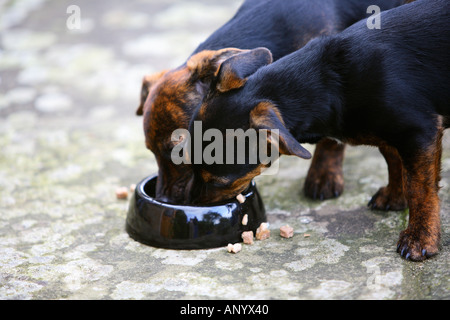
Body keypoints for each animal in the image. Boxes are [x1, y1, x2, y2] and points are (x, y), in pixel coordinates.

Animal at [189, 0, 450, 262]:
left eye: (219, 182)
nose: (195, 205)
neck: (330, 83)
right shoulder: (390, 133)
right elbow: (394, 161)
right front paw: (395, 197)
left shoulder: (419, 131)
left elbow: (419, 188)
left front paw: (420, 239)